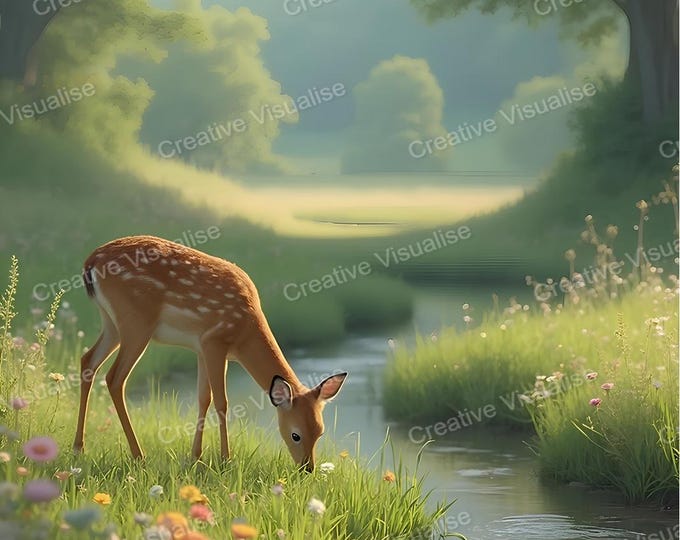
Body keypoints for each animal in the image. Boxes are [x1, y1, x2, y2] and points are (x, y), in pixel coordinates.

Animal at [72, 235, 347, 472]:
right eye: (295, 434)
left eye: (320, 431)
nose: (307, 468)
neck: (245, 334)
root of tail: (90, 262)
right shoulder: (216, 341)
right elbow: (222, 402)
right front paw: (225, 459)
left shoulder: (201, 348)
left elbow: (203, 398)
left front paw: (196, 456)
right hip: (136, 321)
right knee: (115, 377)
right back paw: (139, 455)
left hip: (111, 322)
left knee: (88, 361)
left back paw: (79, 447)